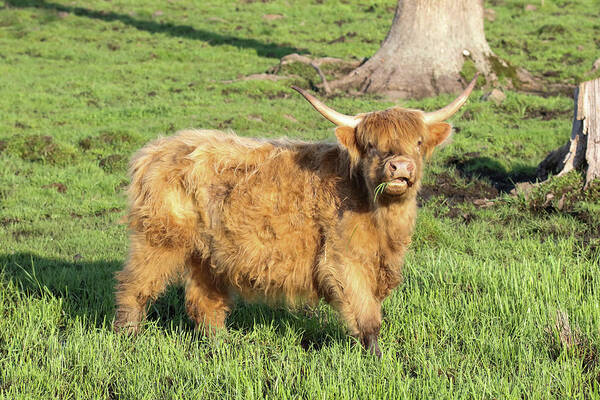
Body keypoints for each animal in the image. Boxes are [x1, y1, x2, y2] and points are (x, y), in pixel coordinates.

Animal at [115, 76, 476, 358]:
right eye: (371, 145)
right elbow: (367, 315)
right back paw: (127, 338)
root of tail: (155, 149)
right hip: (158, 239)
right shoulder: (343, 259)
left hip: (208, 252)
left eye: (418, 142)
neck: (380, 217)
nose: (400, 167)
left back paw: (223, 347)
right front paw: (377, 359)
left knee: (206, 302)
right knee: (135, 286)